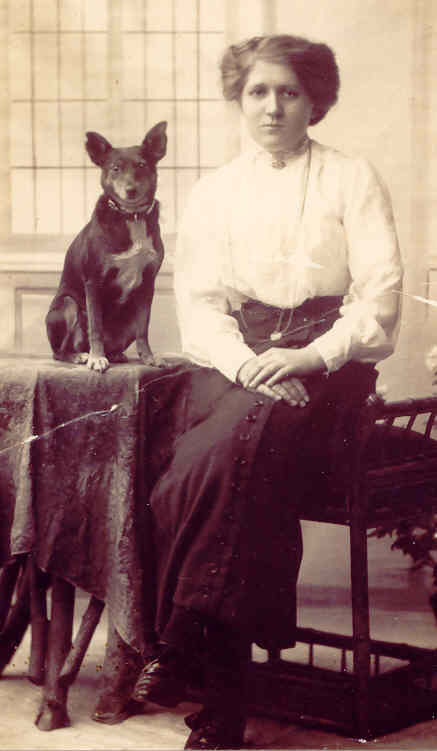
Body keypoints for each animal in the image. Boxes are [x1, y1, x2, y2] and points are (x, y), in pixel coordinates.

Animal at [46, 121, 168, 376]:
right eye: (115, 169)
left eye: (142, 165)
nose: (130, 190)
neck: (131, 216)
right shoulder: (94, 280)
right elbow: (96, 327)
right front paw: (96, 358)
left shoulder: (148, 283)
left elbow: (144, 330)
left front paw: (149, 358)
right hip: (67, 305)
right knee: (60, 350)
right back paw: (80, 355)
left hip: (128, 318)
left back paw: (115, 355)